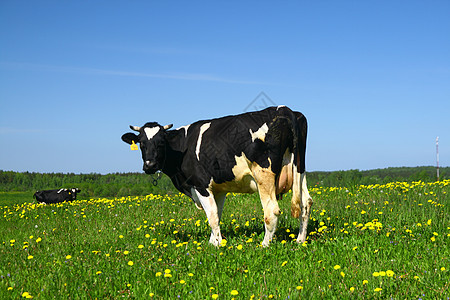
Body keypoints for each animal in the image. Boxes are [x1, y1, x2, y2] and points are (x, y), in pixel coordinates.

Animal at [121, 105, 314, 246]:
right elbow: (217, 214)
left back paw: (264, 245)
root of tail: (285, 109)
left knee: (271, 211)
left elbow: (212, 215)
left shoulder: (201, 184)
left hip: (263, 174)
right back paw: (300, 241)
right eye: (141, 143)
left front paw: (218, 244)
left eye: (161, 142)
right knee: (306, 203)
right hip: (300, 170)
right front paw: (212, 242)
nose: (150, 165)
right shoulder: (219, 189)